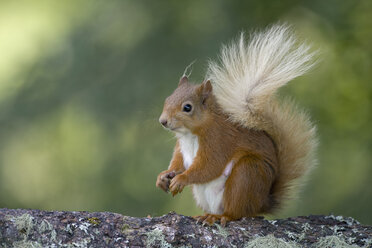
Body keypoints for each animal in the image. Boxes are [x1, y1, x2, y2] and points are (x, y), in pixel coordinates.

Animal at [155, 24, 316, 225]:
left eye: (187, 107)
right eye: (167, 99)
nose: (163, 121)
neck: (189, 134)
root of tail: (261, 203)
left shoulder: (218, 141)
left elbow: (209, 166)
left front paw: (181, 179)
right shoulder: (181, 147)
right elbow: (177, 163)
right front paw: (164, 176)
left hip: (246, 175)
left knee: (236, 212)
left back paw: (218, 217)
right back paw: (205, 214)